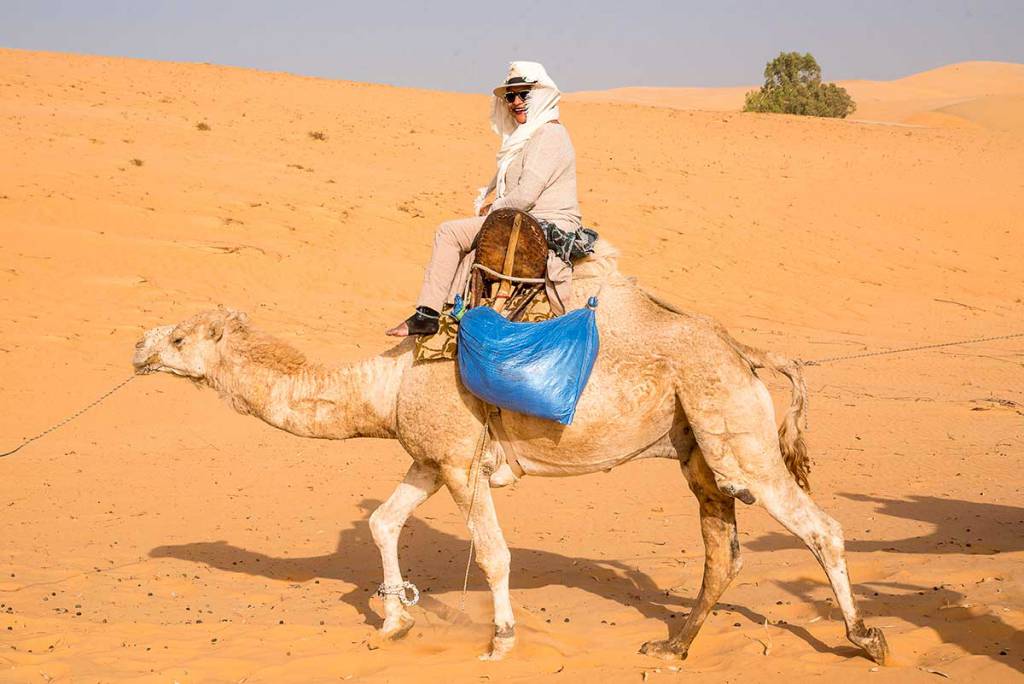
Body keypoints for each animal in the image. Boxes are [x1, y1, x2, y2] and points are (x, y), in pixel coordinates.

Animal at [134, 242, 888, 663]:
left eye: (180, 338)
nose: (138, 346)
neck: (386, 384)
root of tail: (745, 351)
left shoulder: (461, 465)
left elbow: (494, 554)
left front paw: (498, 640)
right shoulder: (430, 459)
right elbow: (382, 521)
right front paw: (395, 620)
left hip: (735, 432)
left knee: (821, 527)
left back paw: (865, 639)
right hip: (698, 445)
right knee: (721, 547)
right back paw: (671, 645)